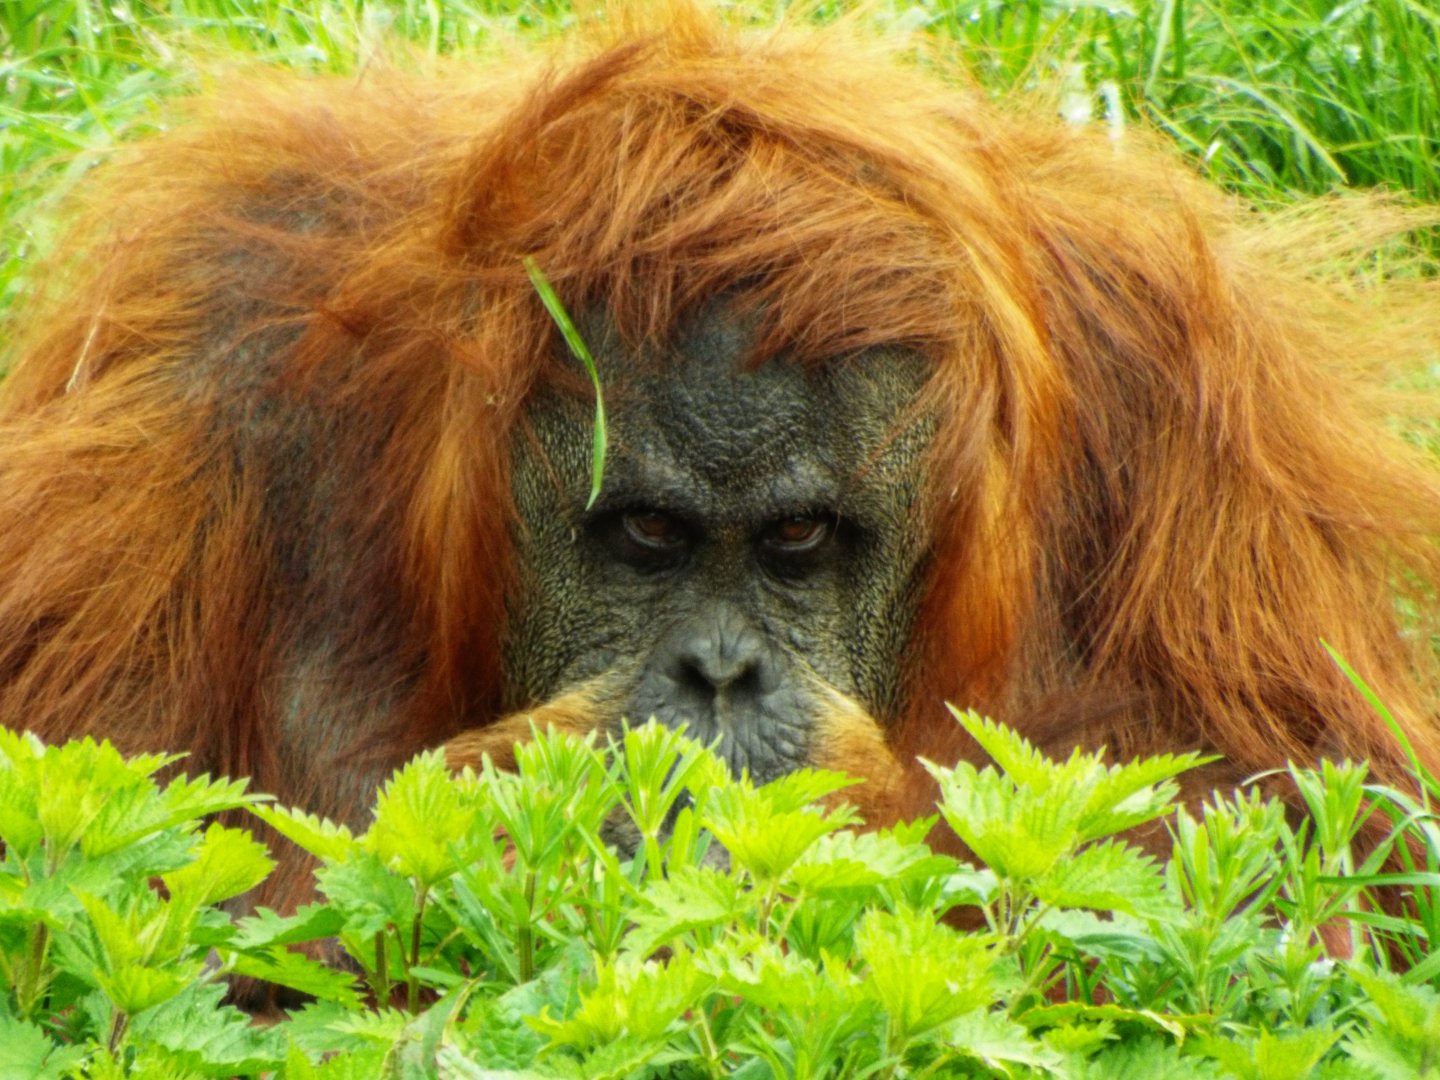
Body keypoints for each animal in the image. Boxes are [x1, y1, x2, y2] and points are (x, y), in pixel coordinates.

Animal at [3, 4, 1440, 950]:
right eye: (646, 534)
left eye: (800, 539)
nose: (719, 673)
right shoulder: (194, 350)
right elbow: (107, 841)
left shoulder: (1196, 391)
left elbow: (1293, 845)